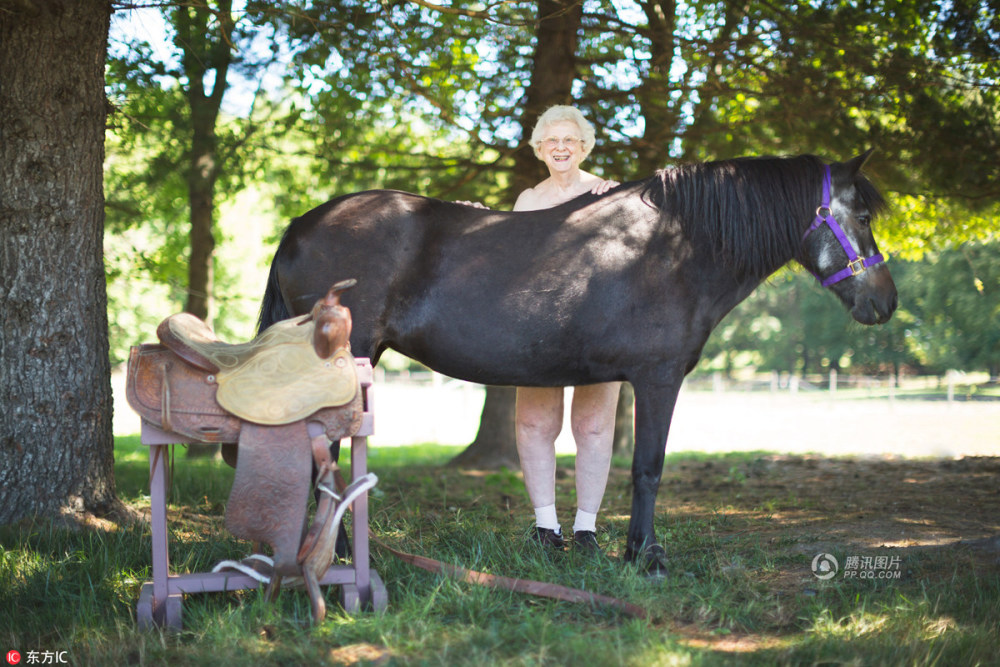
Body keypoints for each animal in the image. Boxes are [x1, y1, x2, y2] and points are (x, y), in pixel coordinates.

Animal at [258, 151, 900, 576]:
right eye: (865, 217)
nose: (886, 303)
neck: (677, 246)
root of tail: (300, 225)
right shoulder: (658, 378)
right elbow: (648, 468)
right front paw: (645, 557)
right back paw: (337, 556)